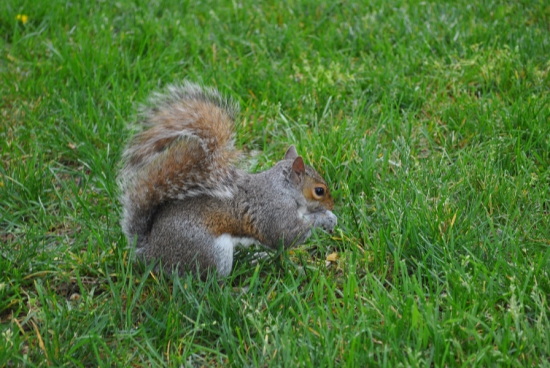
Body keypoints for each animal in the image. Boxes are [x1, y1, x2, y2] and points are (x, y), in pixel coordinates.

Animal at [118, 81, 338, 276]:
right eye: (319, 191)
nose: (332, 205)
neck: (283, 188)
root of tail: (150, 254)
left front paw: (330, 217)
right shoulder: (274, 211)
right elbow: (286, 235)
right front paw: (324, 218)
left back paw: (256, 258)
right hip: (212, 253)